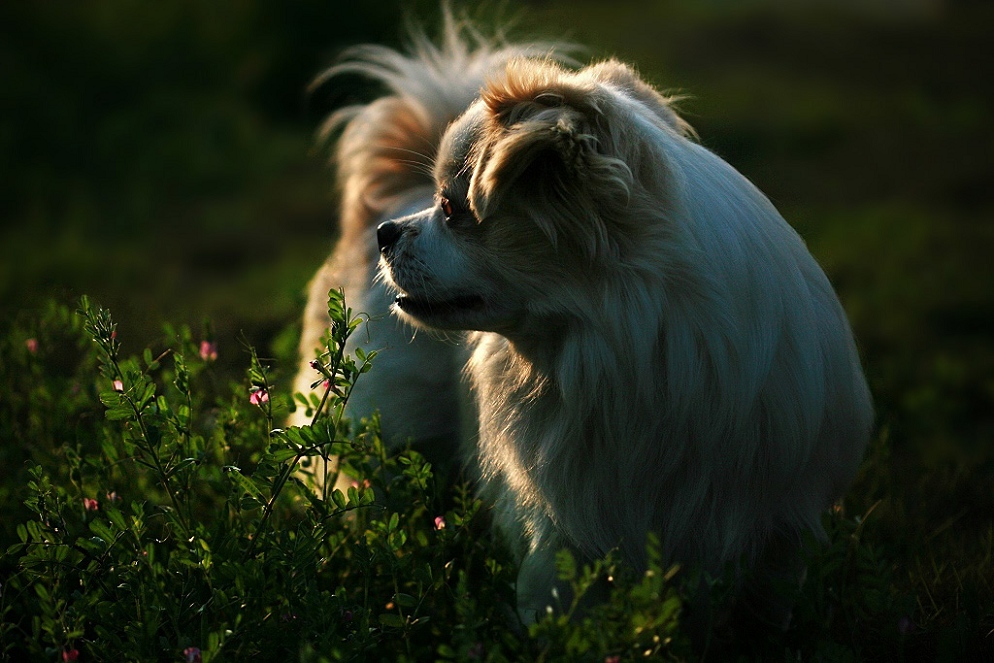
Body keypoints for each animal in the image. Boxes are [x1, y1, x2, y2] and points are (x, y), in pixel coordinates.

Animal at [296, 15, 868, 632]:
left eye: (451, 209)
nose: (388, 233)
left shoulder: (777, 530)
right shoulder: (565, 534)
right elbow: (565, 616)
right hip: (393, 442)